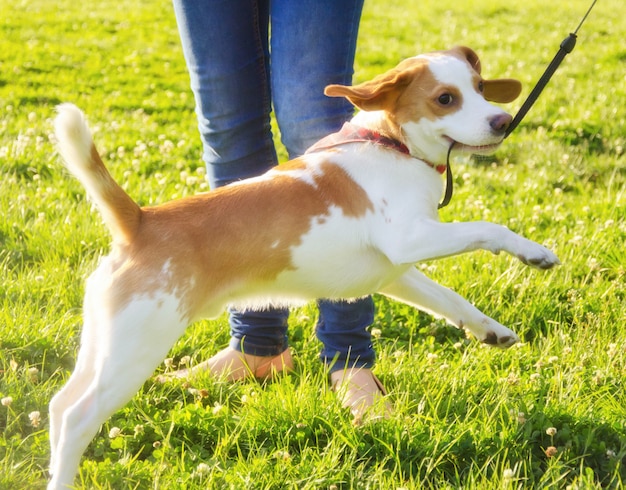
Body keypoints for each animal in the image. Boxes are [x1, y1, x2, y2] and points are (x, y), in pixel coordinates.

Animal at [47, 47, 556, 490]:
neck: (390, 145)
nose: (503, 121)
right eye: (445, 98)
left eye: (479, 87)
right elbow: (489, 228)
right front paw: (533, 252)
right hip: (136, 350)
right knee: (77, 417)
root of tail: (140, 221)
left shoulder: (396, 270)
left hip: (105, 342)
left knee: (58, 406)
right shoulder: (411, 238)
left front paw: (490, 330)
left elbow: (451, 300)